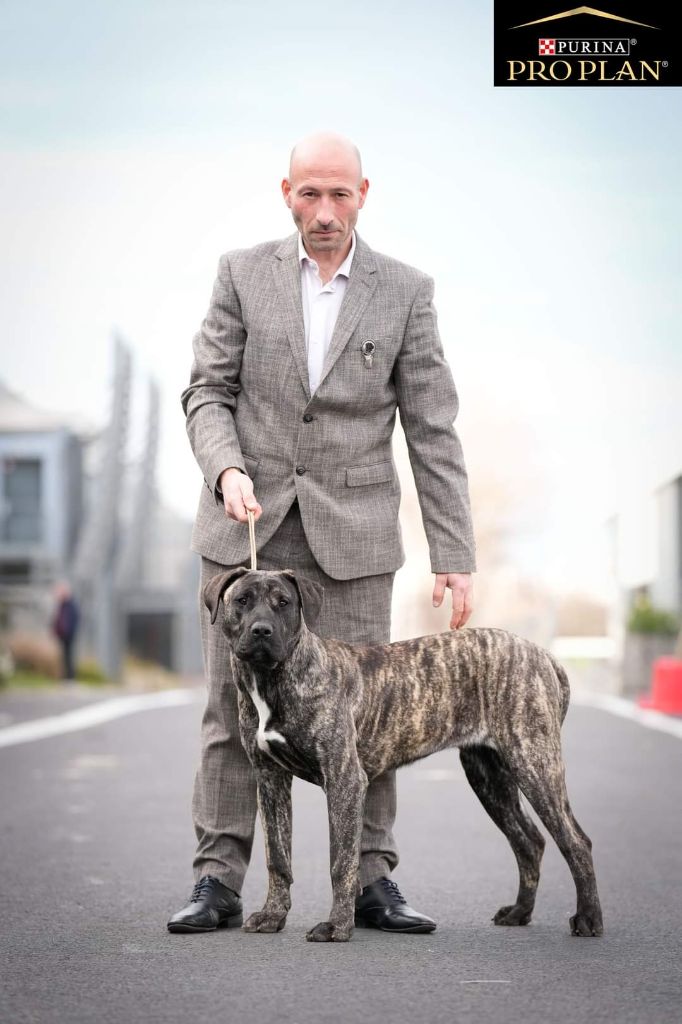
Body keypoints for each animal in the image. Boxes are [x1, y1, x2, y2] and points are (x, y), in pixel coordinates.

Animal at [203, 566, 603, 943]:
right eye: (242, 600)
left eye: (283, 603)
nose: (261, 631)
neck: (273, 680)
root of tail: (543, 654)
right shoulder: (270, 780)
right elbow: (278, 856)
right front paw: (273, 916)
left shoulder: (344, 780)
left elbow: (341, 861)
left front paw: (337, 927)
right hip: (489, 777)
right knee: (528, 842)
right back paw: (520, 912)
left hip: (534, 764)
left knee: (576, 841)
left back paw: (588, 919)